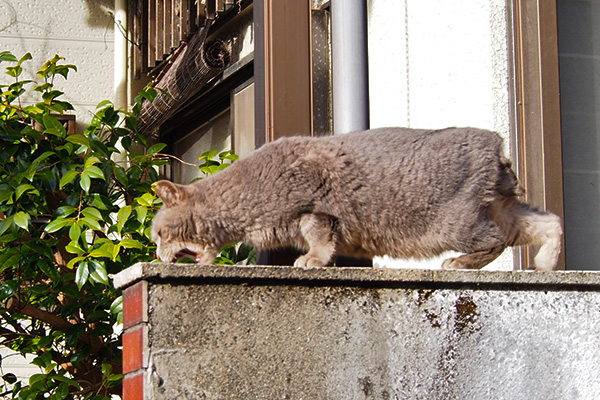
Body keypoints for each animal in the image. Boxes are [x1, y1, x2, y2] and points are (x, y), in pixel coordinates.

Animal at [151, 127, 564, 272]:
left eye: (157, 235)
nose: (154, 252)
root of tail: (495, 144)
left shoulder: (313, 210)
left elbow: (320, 240)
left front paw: (312, 261)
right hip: (504, 210)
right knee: (550, 222)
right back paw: (545, 263)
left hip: (457, 225)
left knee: (495, 241)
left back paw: (459, 264)